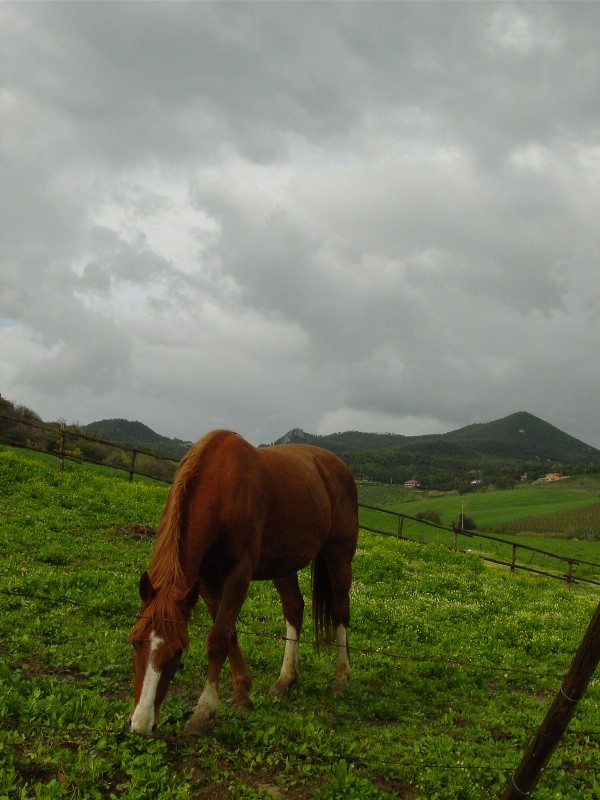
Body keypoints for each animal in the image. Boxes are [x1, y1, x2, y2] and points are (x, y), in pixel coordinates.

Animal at [130, 428, 356, 736]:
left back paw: (341, 679)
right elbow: (229, 633)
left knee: (339, 611)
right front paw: (241, 693)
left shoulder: (239, 574)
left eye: (178, 651)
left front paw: (203, 713)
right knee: (294, 609)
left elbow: (218, 639)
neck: (222, 491)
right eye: (134, 643)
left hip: (338, 555)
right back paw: (285, 681)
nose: (141, 723)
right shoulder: (206, 580)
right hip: (283, 564)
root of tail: (339, 466)